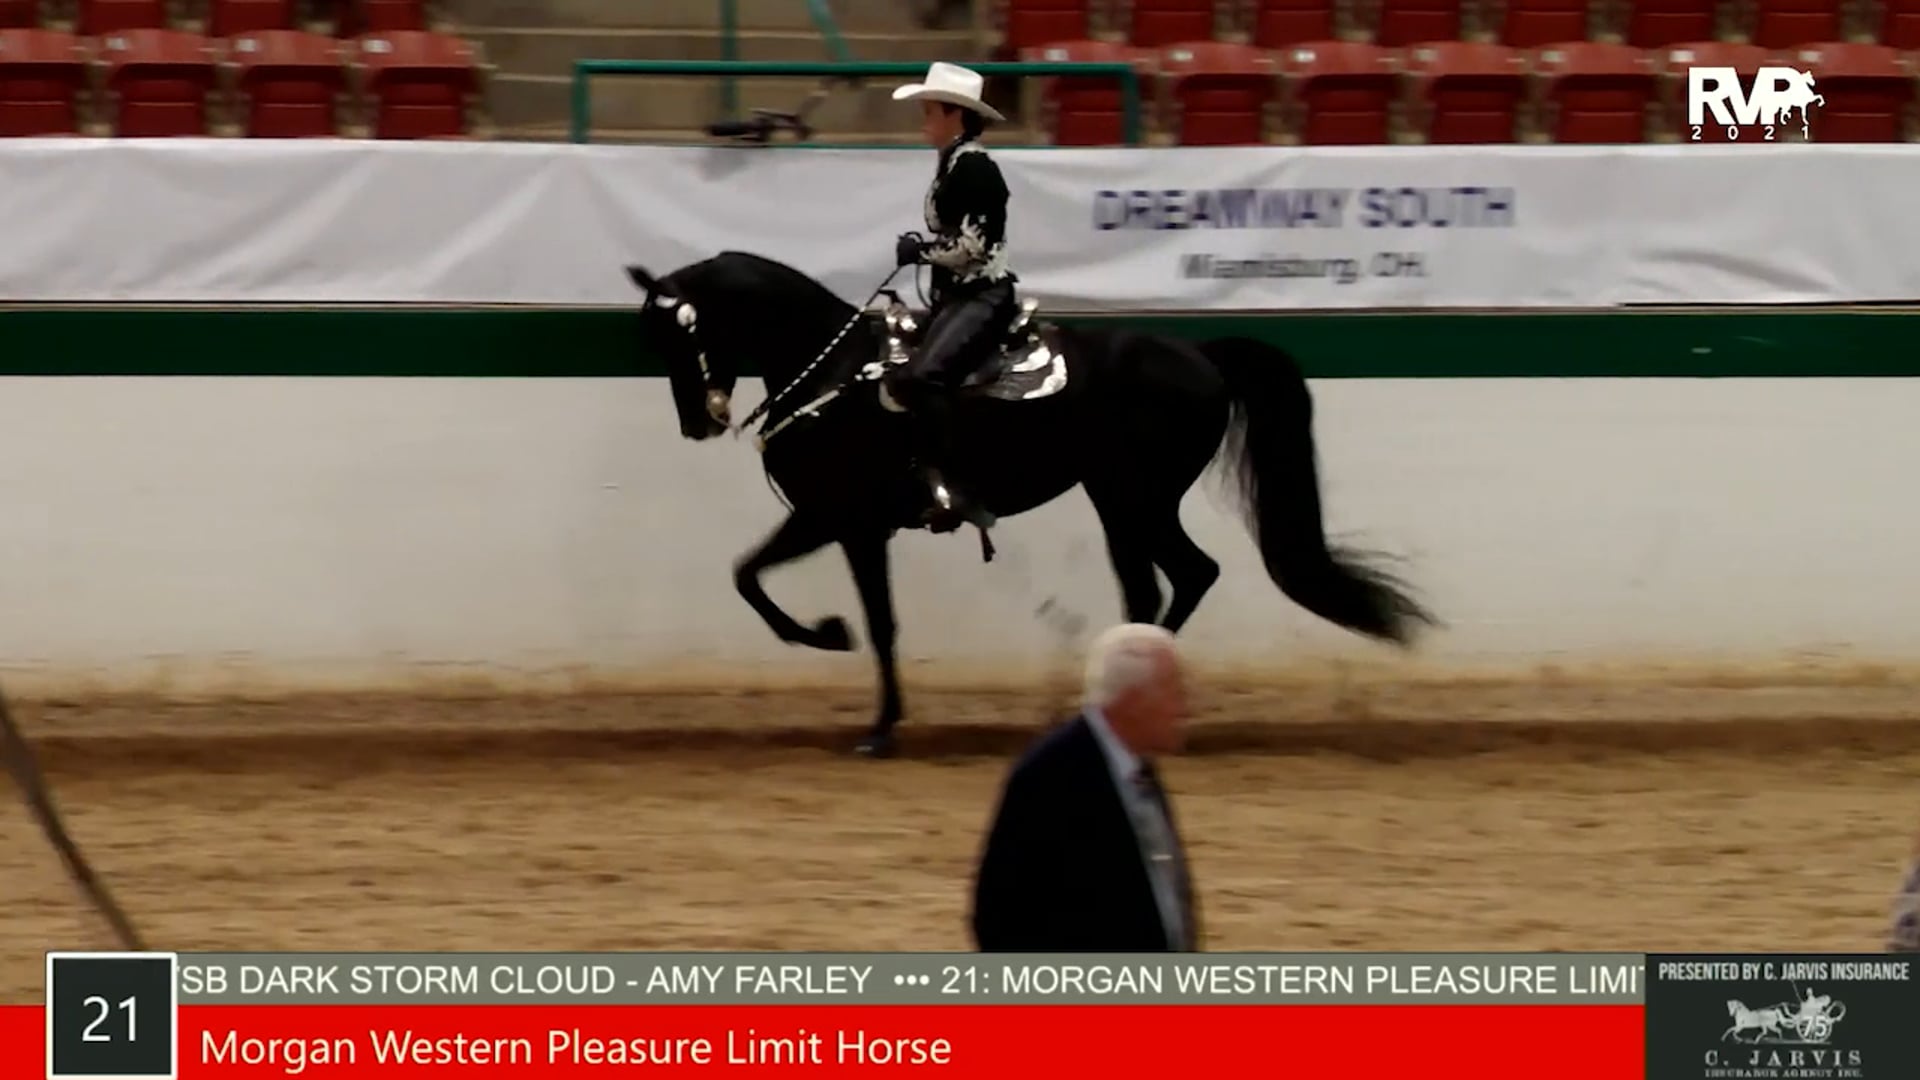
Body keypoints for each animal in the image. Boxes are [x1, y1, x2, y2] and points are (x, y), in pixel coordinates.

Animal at [624, 250, 1436, 757]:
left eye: (684, 334)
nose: (699, 421)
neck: (840, 373)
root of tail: (1200, 354)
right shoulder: (842, 524)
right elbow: (759, 579)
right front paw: (849, 666)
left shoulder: (842, 520)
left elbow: (842, 612)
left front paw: (846, 667)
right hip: (1128, 502)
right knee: (1170, 581)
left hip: (1130, 498)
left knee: (1174, 580)